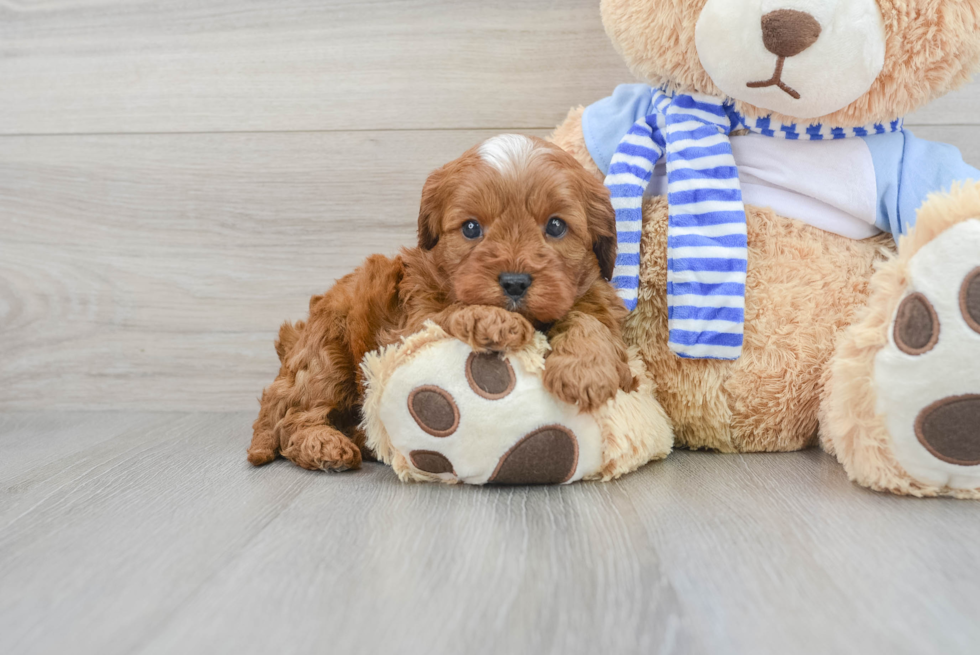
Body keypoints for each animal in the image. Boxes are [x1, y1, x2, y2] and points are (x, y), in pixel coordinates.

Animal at [247, 136, 636, 472]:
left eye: (556, 226)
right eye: (471, 228)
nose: (514, 282)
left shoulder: (596, 297)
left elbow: (590, 319)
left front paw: (584, 370)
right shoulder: (406, 326)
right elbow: (447, 311)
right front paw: (493, 320)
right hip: (327, 354)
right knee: (291, 418)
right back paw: (324, 445)